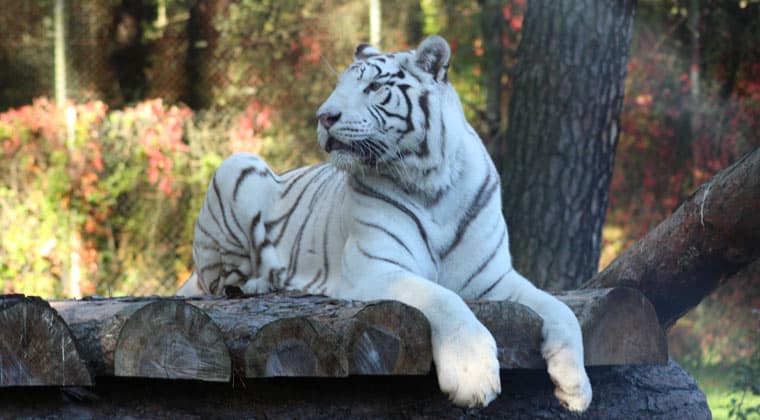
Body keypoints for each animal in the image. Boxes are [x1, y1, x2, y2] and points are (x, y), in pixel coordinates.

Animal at [178, 35, 592, 411]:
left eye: (374, 87)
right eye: (339, 87)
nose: (323, 117)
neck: (433, 184)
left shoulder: (494, 279)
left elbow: (559, 308)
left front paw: (576, 387)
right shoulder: (378, 268)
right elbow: (444, 298)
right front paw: (473, 375)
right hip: (237, 166)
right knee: (220, 279)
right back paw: (260, 282)